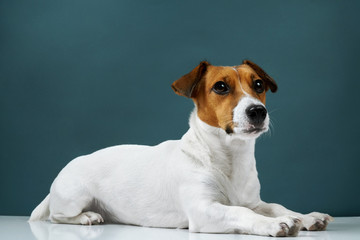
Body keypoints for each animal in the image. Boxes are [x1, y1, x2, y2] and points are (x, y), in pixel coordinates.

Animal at [29, 60, 334, 236]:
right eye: (220, 87)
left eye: (258, 84)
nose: (258, 111)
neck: (228, 158)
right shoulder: (203, 210)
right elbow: (241, 212)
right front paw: (273, 224)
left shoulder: (254, 201)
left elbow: (275, 206)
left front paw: (306, 217)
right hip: (74, 196)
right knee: (56, 216)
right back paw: (87, 217)